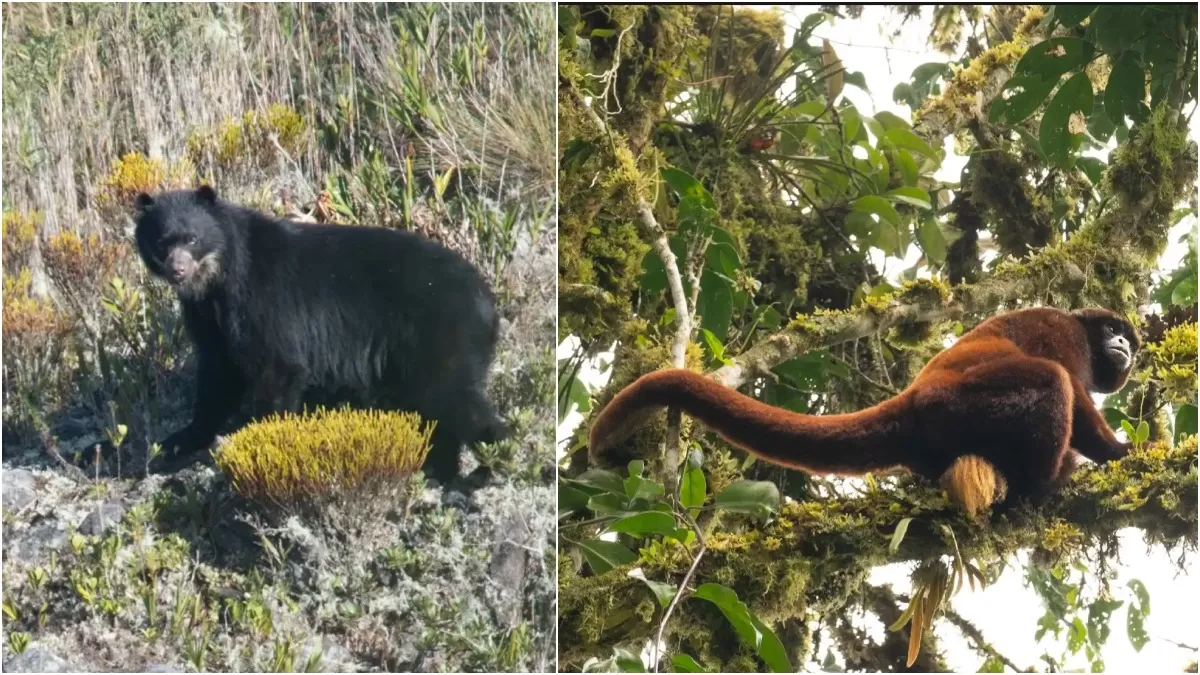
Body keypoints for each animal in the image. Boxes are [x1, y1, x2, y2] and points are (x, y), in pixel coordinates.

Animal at [133, 182, 504, 478]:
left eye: (192, 239)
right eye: (162, 242)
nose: (178, 270)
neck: (218, 279)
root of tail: (487, 298)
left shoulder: (262, 300)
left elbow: (277, 365)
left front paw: (259, 438)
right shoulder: (208, 317)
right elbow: (217, 372)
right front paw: (181, 439)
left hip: (439, 334)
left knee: (453, 395)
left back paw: (490, 452)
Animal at [590, 307, 1142, 511]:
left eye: (1128, 340)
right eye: (1113, 330)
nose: (1125, 347)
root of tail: (912, 397)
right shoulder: (1064, 332)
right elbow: (1074, 389)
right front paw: (1120, 453)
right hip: (959, 404)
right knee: (1050, 382)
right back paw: (1040, 485)